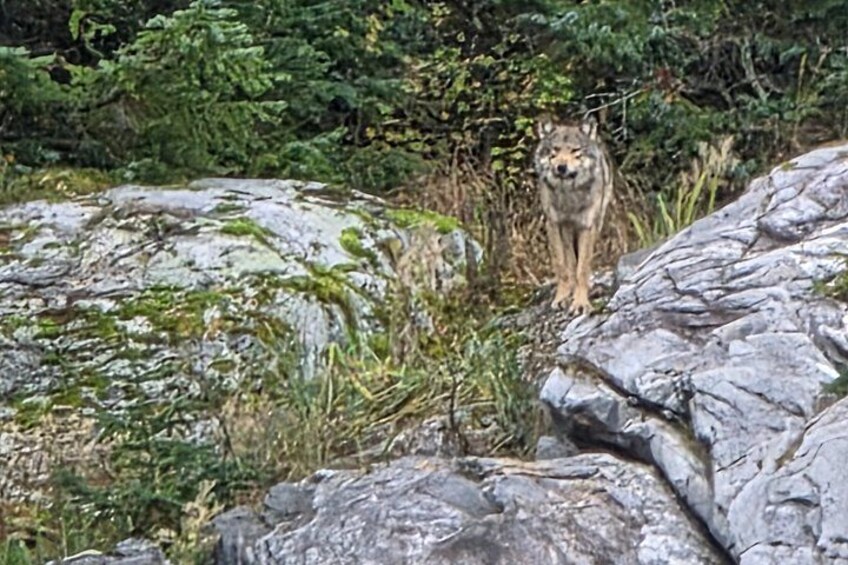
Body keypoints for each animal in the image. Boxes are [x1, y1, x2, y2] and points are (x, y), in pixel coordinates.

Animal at [534, 115, 613, 314]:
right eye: (555, 150)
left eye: (575, 150)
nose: (561, 167)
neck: (569, 196)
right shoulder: (554, 224)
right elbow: (563, 266)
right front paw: (562, 297)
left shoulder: (587, 225)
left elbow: (582, 268)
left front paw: (580, 303)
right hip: (567, 230)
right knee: (570, 261)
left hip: (597, 223)